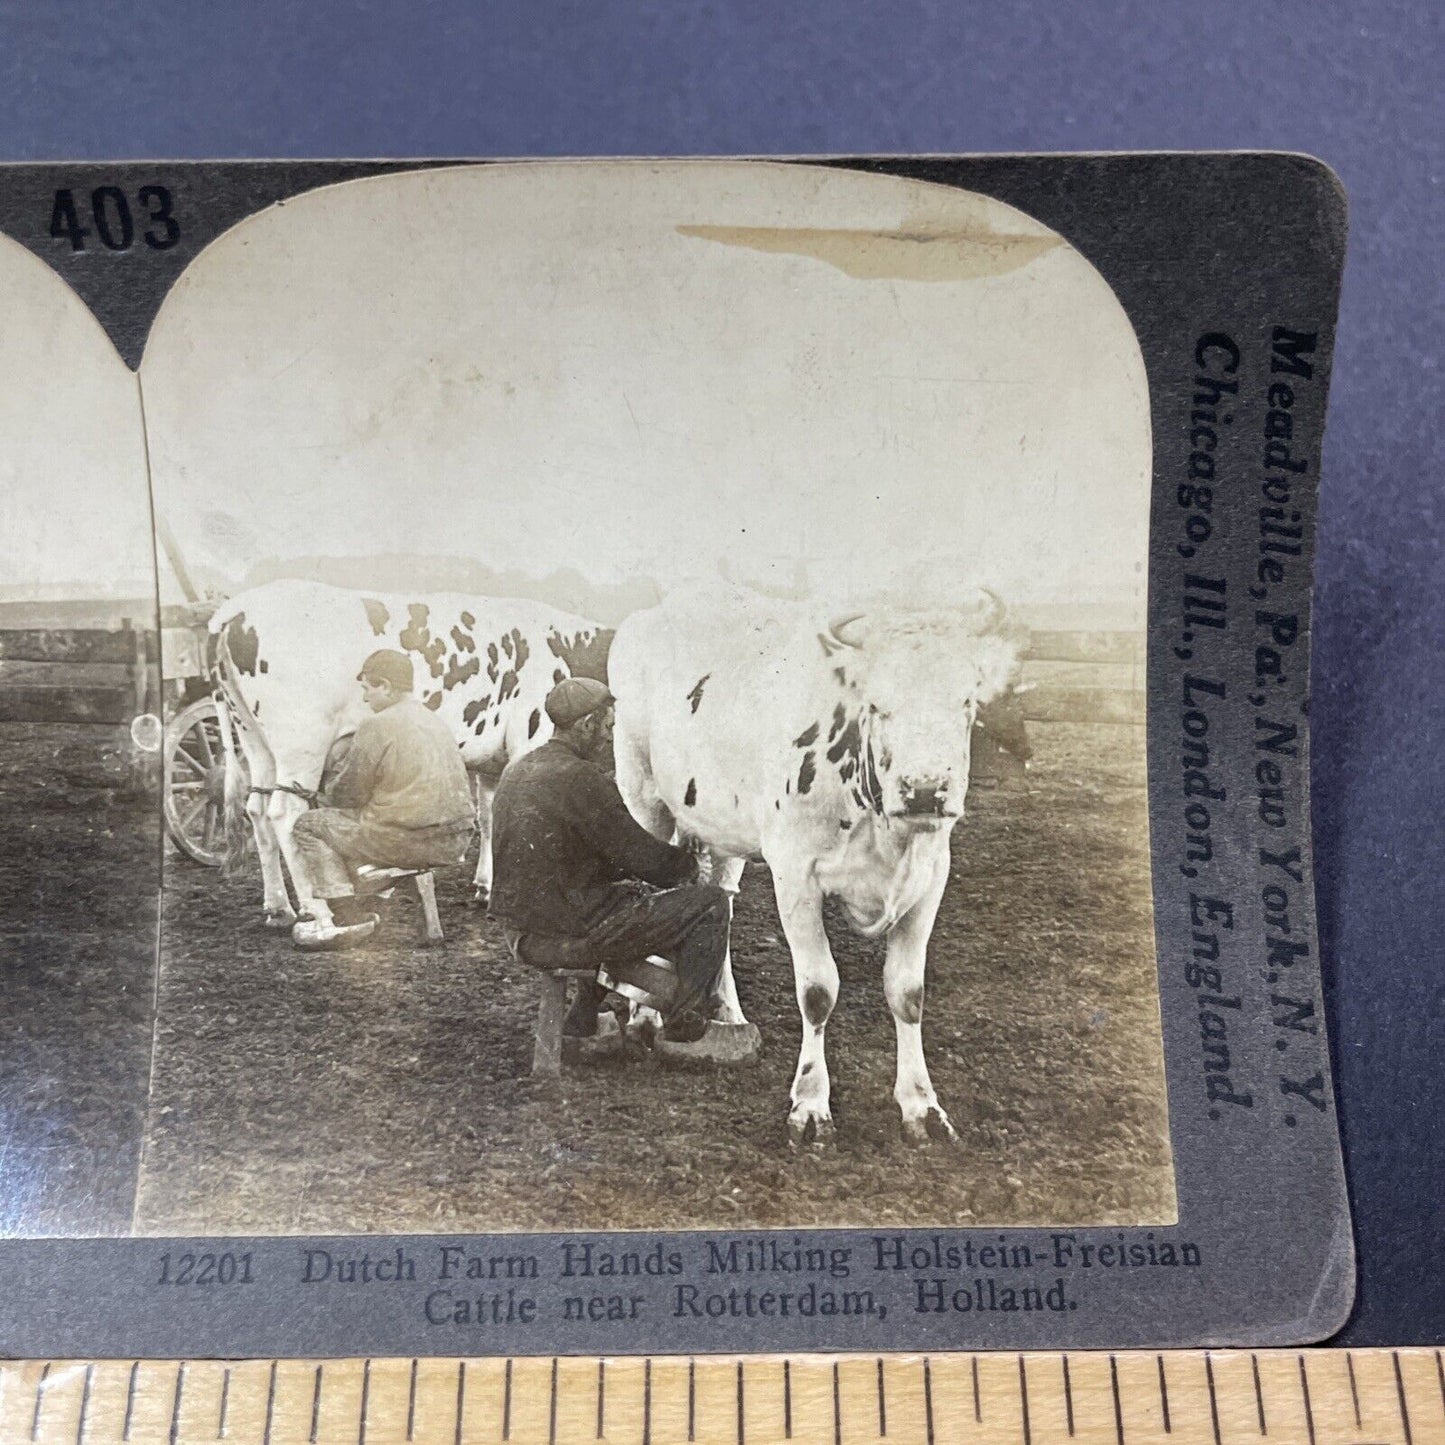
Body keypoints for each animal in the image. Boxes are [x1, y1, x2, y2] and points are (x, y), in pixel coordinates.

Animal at [210, 575, 606, 924]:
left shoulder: (491, 759)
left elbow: (490, 816)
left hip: (254, 739)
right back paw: (317, 912)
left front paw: (485, 886)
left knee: (257, 808)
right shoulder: (528, 736)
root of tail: (238, 608)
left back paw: (279, 908)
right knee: (285, 813)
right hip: (302, 742)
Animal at [609, 580, 1028, 1144]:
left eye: (966, 701)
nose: (924, 789)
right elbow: (817, 991)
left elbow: (908, 992)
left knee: (719, 898)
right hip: (642, 797)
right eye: (877, 705)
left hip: (722, 828)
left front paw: (921, 1105)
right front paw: (809, 1103)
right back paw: (643, 1017)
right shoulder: (795, 876)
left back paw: (728, 1012)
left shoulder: (930, 874)